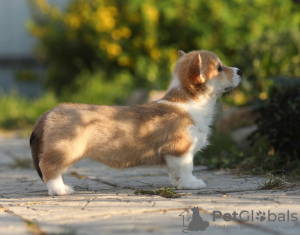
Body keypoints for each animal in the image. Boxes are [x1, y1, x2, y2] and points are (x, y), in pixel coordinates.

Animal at [29, 50, 241, 196]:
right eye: (219, 68)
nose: (240, 70)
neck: (189, 102)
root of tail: (48, 113)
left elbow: (175, 172)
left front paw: (180, 183)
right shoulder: (180, 151)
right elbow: (187, 168)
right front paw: (192, 183)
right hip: (65, 151)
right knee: (48, 167)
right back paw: (60, 189)